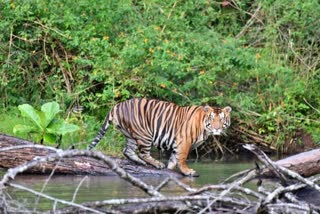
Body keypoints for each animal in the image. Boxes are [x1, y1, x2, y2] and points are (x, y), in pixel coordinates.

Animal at [89, 98, 231, 176]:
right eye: (212, 119)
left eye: (221, 119)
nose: (217, 128)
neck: (204, 128)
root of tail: (117, 105)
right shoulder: (184, 141)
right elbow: (182, 158)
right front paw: (188, 171)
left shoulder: (177, 144)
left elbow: (173, 159)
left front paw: (170, 169)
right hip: (145, 134)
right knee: (143, 153)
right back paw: (157, 164)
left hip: (131, 135)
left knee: (127, 150)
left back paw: (141, 163)